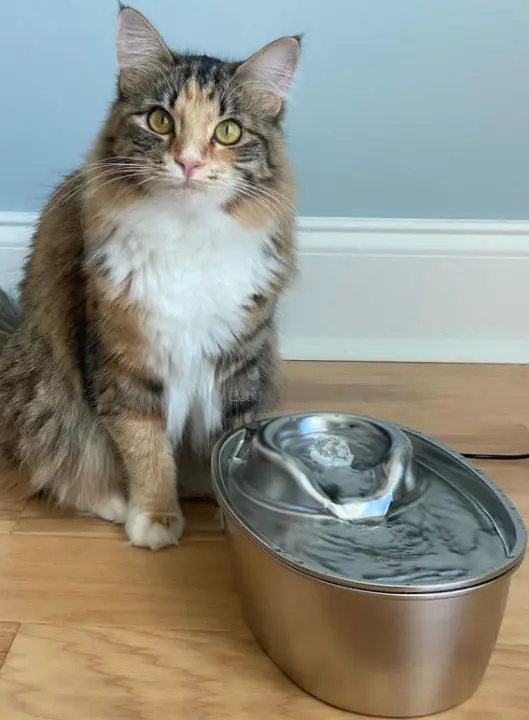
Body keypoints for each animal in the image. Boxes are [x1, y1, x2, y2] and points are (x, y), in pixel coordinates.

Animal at [0, 4, 300, 552]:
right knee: (62, 463)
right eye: (161, 120)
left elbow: (230, 441)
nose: (188, 162)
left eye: (228, 131)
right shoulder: (125, 366)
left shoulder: (241, 363)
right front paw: (156, 517)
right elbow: (144, 449)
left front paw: (229, 513)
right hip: (50, 386)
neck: (188, 237)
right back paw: (115, 502)